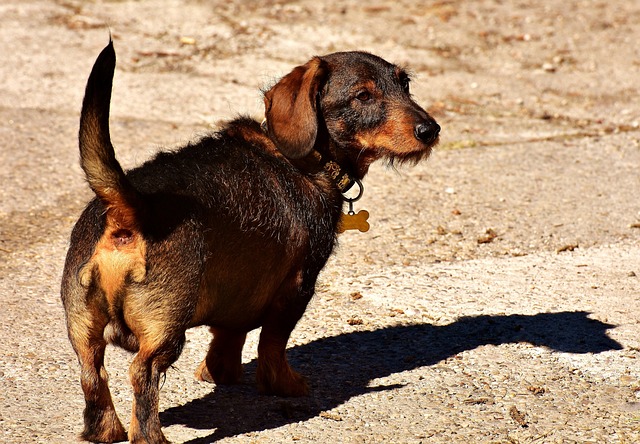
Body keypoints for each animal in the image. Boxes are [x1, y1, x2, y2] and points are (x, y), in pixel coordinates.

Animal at [61, 40, 440, 442]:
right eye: (363, 95)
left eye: (405, 85)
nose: (430, 129)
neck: (306, 160)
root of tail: (128, 208)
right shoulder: (297, 287)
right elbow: (273, 342)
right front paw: (284, 384)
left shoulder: (240, 289)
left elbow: (230, 334)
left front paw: (219, 372)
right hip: (166, 329)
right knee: (141, 374)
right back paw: (151, 437)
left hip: (82, 327)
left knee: (92, 374)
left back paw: (105, 430)